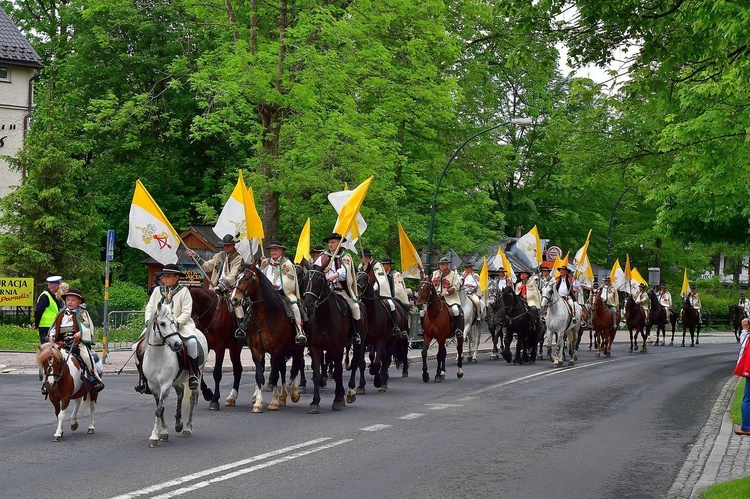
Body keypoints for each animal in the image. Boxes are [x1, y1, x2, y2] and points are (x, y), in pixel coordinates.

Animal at [141, 300, 209, 450]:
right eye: (162, 323)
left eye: (174, 322)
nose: (178, 344)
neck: (157, 356)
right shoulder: (153, 386)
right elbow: (159, 408)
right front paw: (164, 432)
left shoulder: (165, 385)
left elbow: (159, 409)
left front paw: (154, 436)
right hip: (176, 381)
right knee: (180, 392)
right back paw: (178, 423)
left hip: (198, 375)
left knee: (193, 399)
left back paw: (187, 428)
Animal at [232, 264, 308, 412]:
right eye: (237, 277)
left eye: (247, 278)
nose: (234, 299)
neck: (265, 316)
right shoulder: (257, 350)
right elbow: (260, 375)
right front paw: (258, 403)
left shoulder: (276, 350)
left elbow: (274, 374)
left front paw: (273, 401)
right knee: (284, 369)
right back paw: (283, 397)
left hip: (298, 347)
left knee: (296, 366)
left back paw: (294, 393)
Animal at [300, 268, 364, 412]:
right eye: (304, 280)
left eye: (319, 281)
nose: (307, 306)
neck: (325, 317)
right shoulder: (315, 347)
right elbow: (317, 374)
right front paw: (315, 402)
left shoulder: (338, 348)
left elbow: (338, 373)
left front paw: (338, 400)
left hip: (358, 344)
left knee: (355, 363)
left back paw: (350, 392)